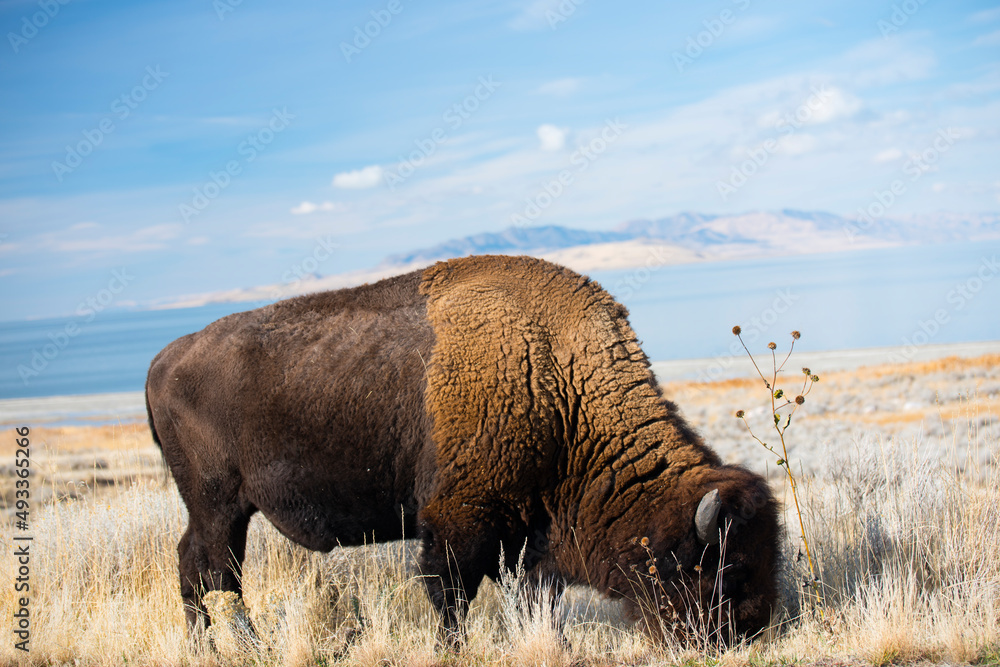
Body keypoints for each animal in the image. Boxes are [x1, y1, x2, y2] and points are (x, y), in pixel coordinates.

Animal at [145, 254, 780, 640]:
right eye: (724, 571)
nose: (750, 631)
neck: (556, 379)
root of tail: (164, 358)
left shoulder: (528, 535)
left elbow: (533, 598)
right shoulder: (458, 521)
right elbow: (452, 598)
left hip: (221, 510)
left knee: (200, 569)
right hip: (219, 505)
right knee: (212, 571)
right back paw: (232, 645)